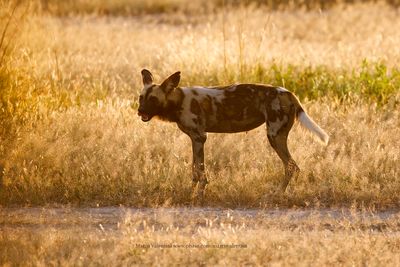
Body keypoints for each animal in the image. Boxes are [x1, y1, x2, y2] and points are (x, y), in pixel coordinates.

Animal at [138, 70, 328, 202]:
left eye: (153, 99)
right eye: (141, 98)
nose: (139, 111)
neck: (178, 101)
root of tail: (288, 93)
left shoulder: (199, 137)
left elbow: (200, 171)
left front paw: (198, 196)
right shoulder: (194, 139)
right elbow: (194, 170)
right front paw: (189, 193)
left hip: (274, 136)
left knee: (291, 167)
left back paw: (276, 195)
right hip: (276, 137)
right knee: (293, 167)